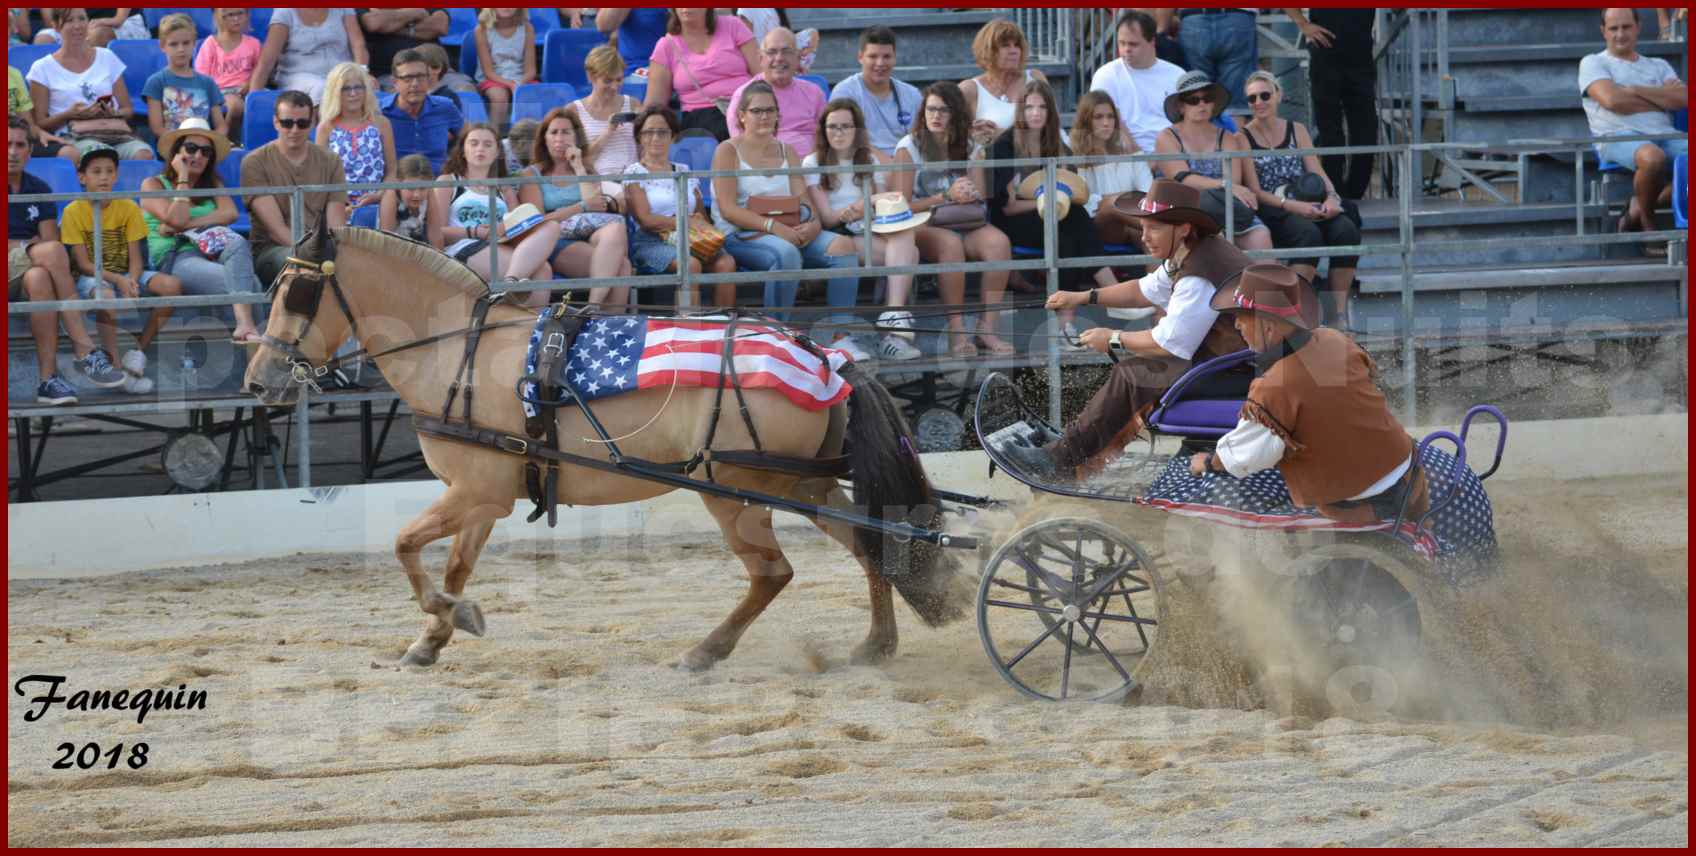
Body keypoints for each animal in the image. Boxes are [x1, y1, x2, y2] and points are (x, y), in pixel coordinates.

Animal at [242, 230, 970, 671]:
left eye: (296, 292)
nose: (258, 379)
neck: (460, 352)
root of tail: (822, 358)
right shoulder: (486, 497)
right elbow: (453, 567)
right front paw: (433, 638)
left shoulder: (475, 489)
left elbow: (403, 546)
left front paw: (449, 619)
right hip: (802, 483)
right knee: (872, 544)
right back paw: (875, 644)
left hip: (736, 493)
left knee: (773, 574)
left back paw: (705, 651)